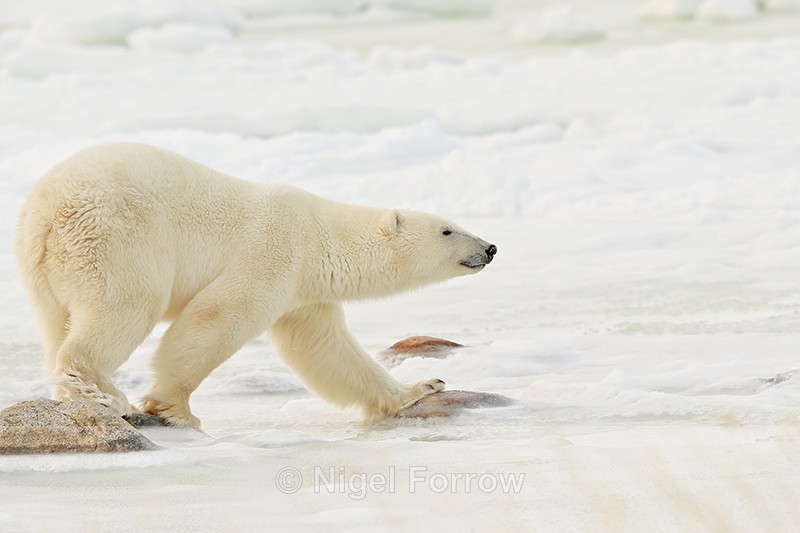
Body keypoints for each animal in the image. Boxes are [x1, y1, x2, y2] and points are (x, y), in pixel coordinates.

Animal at [15, 143, 497, 429]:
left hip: (44, 270)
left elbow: (325, 349)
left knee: (56, 323)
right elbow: (217, 317)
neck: (319, 236)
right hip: (118, 240)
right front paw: (175, 409)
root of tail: (46, 211)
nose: (490, 247)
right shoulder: (275, 250)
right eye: (447, 230)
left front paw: (422, 388)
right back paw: (109, 396)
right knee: (126, 306)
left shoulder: (305, 294)